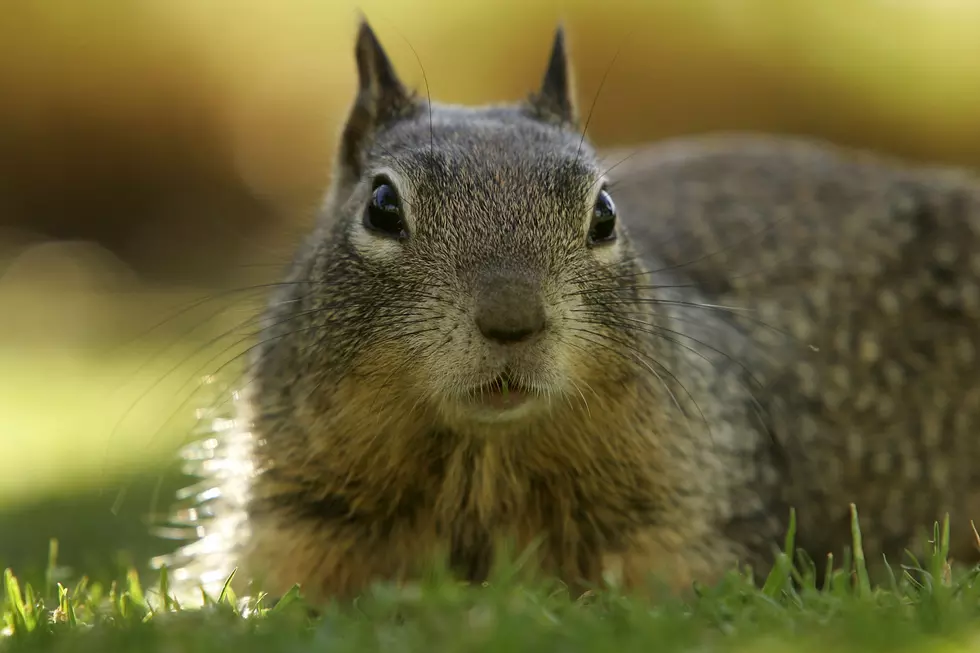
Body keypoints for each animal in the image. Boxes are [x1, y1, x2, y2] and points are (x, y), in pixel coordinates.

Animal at [149, 19, 980, 600]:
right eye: (382, 205)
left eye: (605, 212)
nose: (513, 320)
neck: (481, 461)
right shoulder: (290, 518)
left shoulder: (687, 520)